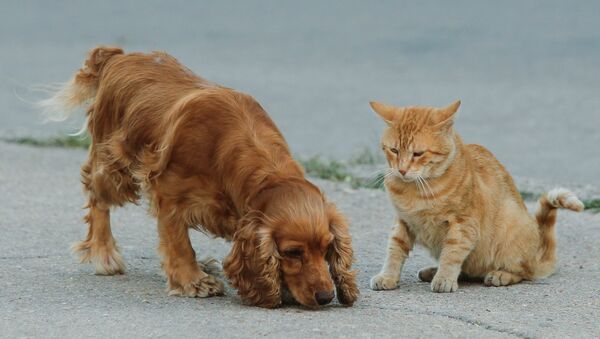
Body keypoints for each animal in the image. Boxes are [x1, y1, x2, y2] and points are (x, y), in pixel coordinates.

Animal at [43, 46, 360, 310]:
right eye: (293, 252)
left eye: (327, 247)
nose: (326, 296)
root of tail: (119, 56)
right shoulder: (169, 194)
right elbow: (179, 243)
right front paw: (193, 281)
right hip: (115, 169)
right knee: (96, 198)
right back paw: (104, 252)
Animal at [368, 99, 584, 294]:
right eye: (394, 150)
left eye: (418, 153)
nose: (402, 170)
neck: (416, 189)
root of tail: (536, 257)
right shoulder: (403, 221)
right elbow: (394, 250)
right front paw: (387, 277)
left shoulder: (463, 225)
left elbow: (452, 254)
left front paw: (444, 278)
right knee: (468, 271)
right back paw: (432, 271)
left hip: (512, 225)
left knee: (523, 272)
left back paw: (500, 274)